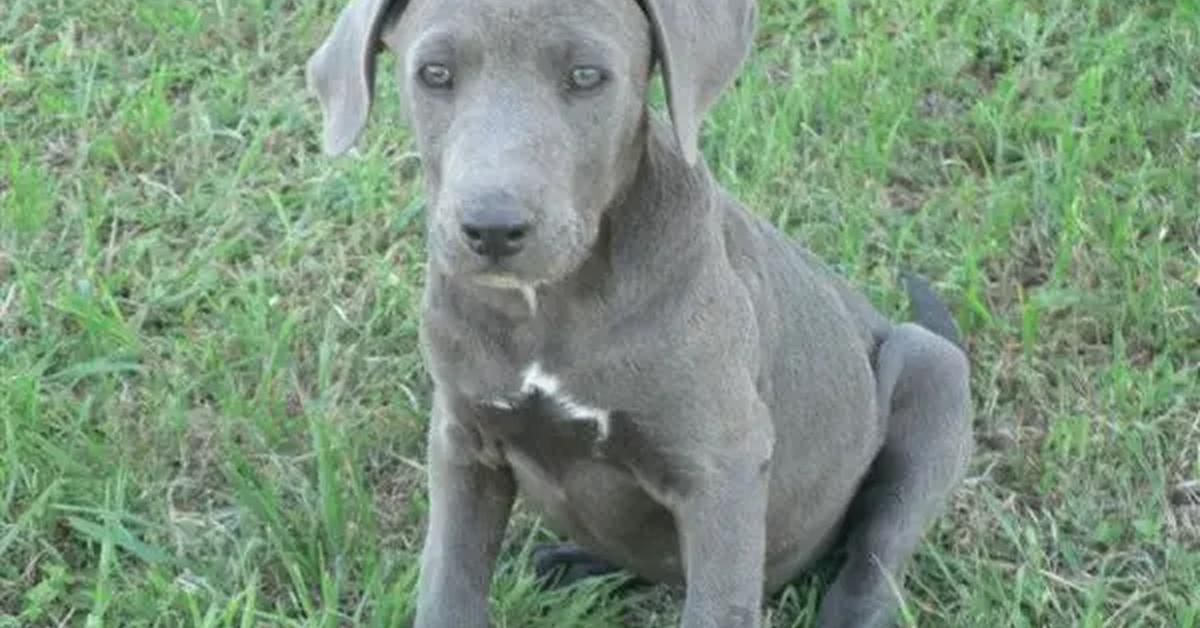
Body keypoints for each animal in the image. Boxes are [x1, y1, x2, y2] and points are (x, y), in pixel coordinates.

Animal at [309, 2, 974, 624]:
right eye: (434, 73)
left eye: (586, 75)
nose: (493, 228)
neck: (549, 306)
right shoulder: (463, 443)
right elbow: (449, 584)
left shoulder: (723, 466)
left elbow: (717, 605)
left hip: (932, 374)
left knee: (869, 570)